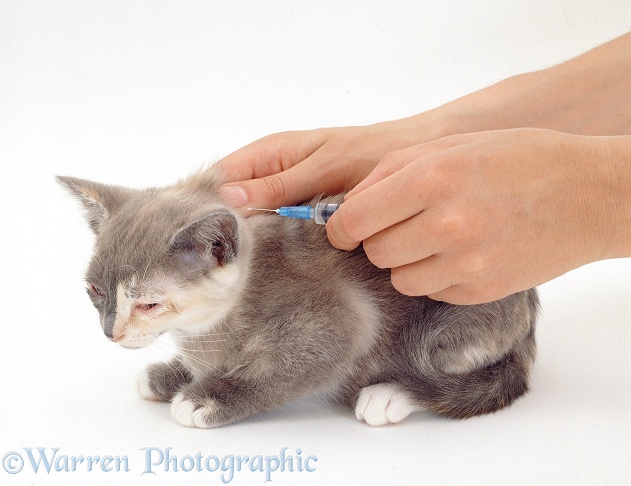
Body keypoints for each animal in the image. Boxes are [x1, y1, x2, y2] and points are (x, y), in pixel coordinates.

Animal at [58, 169, 540, 428]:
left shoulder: (345, 318)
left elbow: (284, 369)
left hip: (450, 323)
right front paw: (172, 374)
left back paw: (388, 395)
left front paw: (207, 397)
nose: (112, 334)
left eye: (149, 304)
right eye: (94, 291)